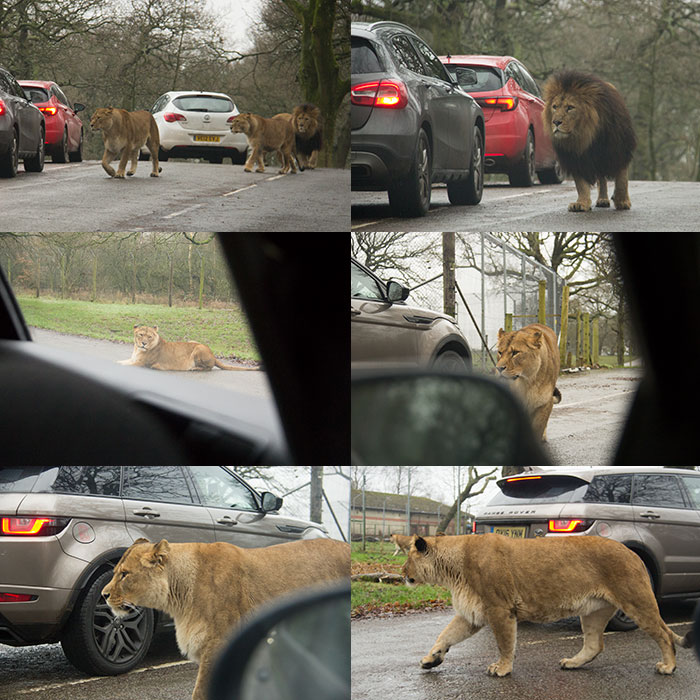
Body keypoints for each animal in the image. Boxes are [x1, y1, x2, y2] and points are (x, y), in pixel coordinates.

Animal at [118, 324, 256, 371]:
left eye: (150, 337)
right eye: (141, 335)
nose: (144, 343)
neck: (138, 349)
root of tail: (213, 354)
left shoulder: (141, 363)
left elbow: (125, 365)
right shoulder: (133, 359)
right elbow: (121, 361)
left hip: (198, 349)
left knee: (208, 368)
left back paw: (194, 368)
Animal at [402, 534, 694, 678]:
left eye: (408, 558)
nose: (402, 573)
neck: (452, 569)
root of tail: (633, 553)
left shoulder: (499, 609)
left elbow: (505, 643)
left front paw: (502, 669)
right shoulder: (471, 613)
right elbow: (445, 636)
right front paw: (431, 659)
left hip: (637, 601)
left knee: (665, 634)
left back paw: (668, 667)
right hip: (593, 611)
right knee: (594, 645)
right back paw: (572, 663)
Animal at [542, 70, 636, 212]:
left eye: (570, 107)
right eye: (554, 107)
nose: (556, 122)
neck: (585, 135)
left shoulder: (618, 149)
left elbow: (622, 178)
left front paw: (622, 201)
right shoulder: (576, 158)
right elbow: (580, 184)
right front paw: (581, 203)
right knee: (601, 179)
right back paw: (602, 200)